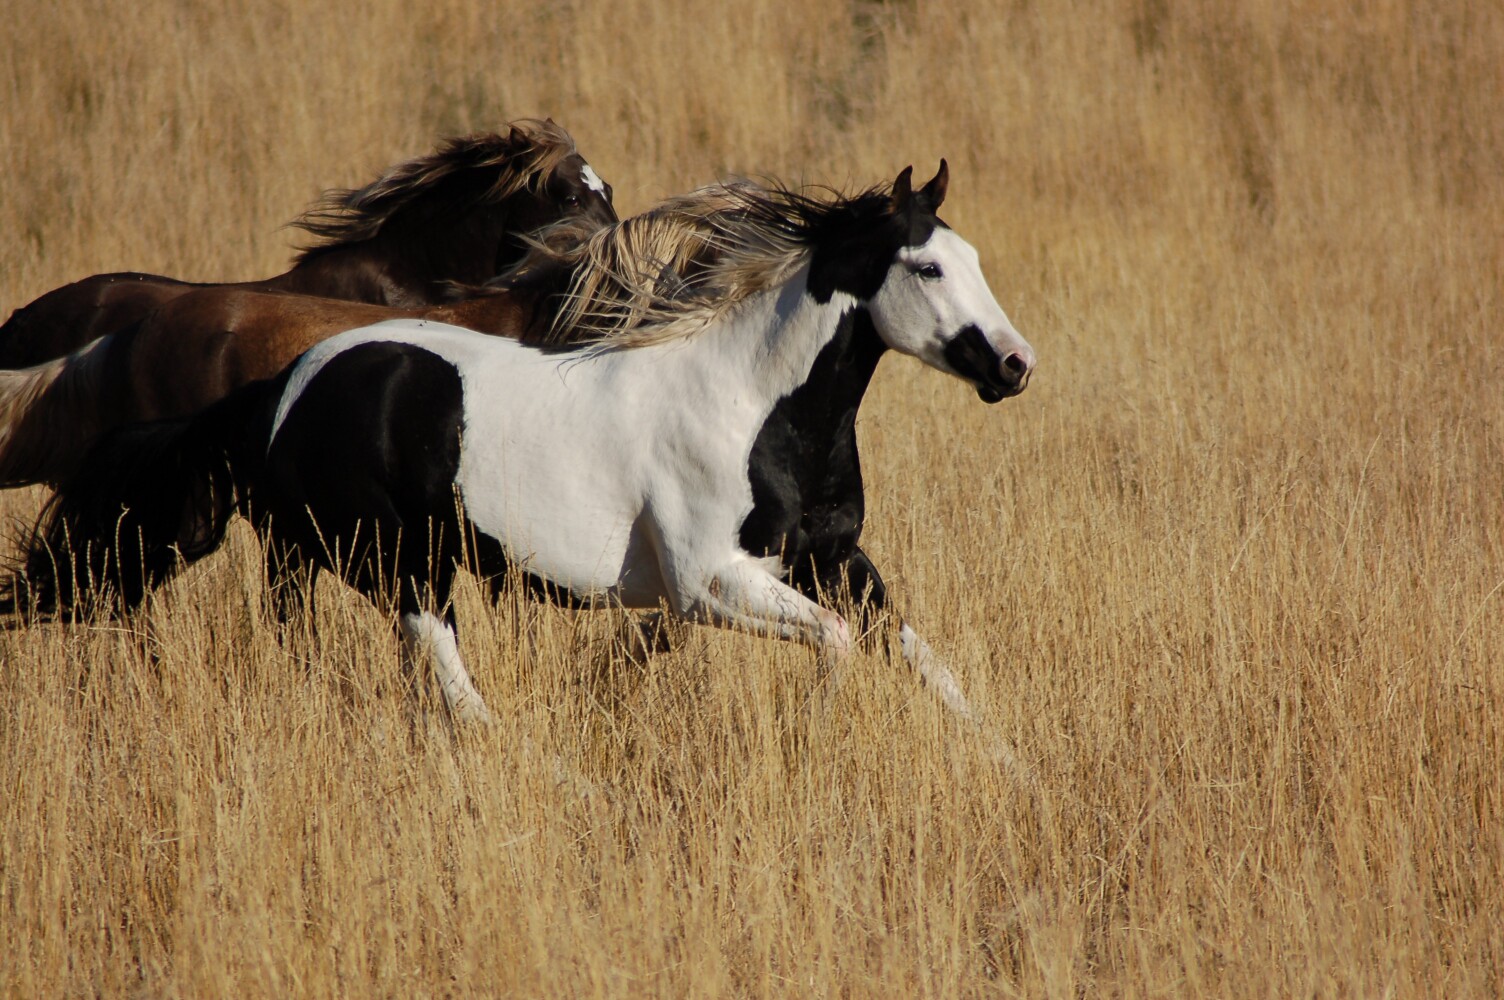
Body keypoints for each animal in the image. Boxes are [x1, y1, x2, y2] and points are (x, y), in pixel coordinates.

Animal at [17, 162, 1035, 724]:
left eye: (976, 259)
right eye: (926, 267)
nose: (1015, 365)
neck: (753, 407)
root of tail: (283, 390)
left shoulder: (836, 560)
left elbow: (925, 662)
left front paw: (1007, 765)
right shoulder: (710, 583)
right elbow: (835, 646)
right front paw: (817, 731)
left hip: (306, 559)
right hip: (399, 561)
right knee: (451, 681)